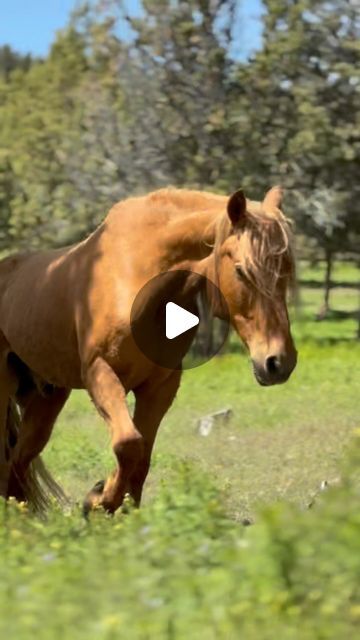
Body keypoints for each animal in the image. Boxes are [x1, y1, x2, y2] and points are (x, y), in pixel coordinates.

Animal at [0, 185, 298, 516]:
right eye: (242, 271)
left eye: (287, 269)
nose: (278, 362)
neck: (136, 275)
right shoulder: (100, 372)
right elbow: (128, 443)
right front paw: (99, 501)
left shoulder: (160, 385)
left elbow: (141, 456)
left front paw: (118, 507)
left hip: (47, 396)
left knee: (20, 457)